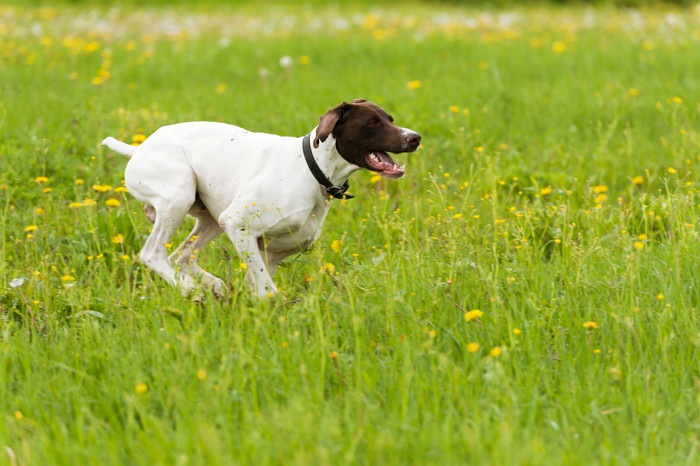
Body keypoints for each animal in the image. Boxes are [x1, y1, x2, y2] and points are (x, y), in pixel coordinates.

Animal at [103, 99, 422, 296]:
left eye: (390, 119)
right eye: (372, 122)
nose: (415, 137)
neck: (311, 169)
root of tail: (139, 148)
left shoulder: (270, 252)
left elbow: (258, 286)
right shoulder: (238, 224)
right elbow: (268, 292)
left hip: (210, 219)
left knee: (181, 256)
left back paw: (213, 286)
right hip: (179, 197)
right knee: (153, 254)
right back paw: (189, 290)